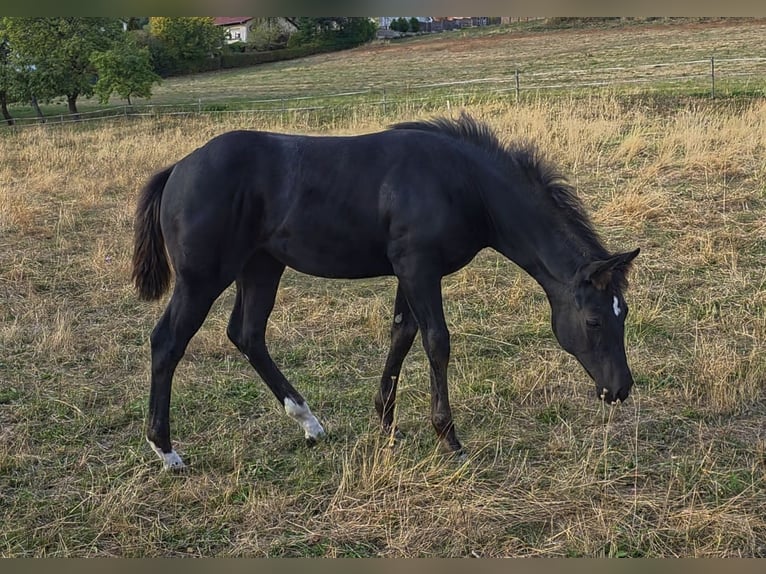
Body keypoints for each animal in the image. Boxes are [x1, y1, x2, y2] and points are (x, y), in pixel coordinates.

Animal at [132, 113, 639, 470]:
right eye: (594, 320)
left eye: (625, 313)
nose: (619, 389)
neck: (463, 183)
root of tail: (177, 168)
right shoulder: (419, 268)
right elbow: (436, 341)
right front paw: (448, 437)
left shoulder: (407, 272)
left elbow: (402, 333)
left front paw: (385, 421)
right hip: (202, 278)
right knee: (167, 342)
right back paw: (166, 451)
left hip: (261, 267)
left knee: (247, 334)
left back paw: (310, 424)